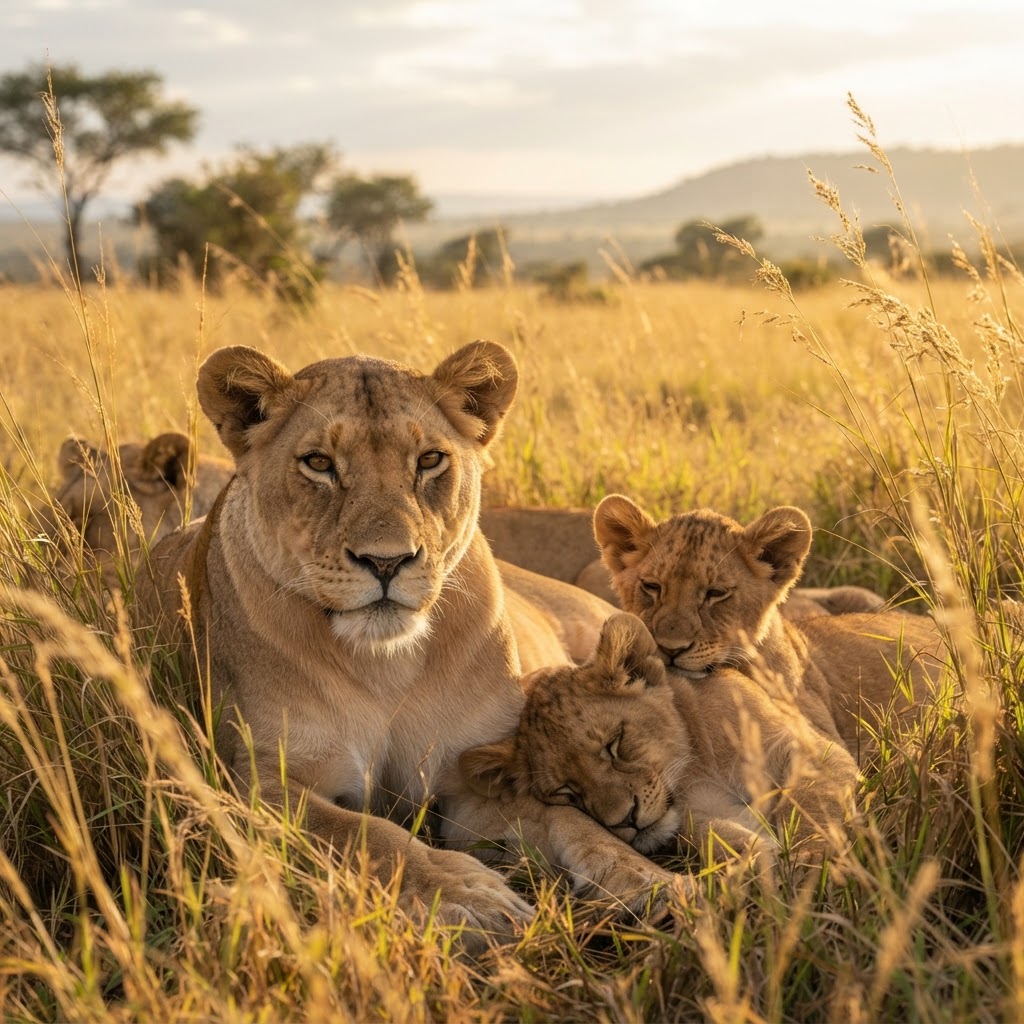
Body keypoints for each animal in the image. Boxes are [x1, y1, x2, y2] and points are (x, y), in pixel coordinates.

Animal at [136, 341, 680, 948]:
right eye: (319, 464)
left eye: (429, 460)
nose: (387, 561)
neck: (387, 666)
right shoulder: (254, 786)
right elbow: (365, 833)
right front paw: (468, 896)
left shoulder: (470, 782)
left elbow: (570, 822)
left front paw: (649, 878)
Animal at [460, 612, 860, 871]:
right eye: (566, 791)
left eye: (615, 743)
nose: (626, 821)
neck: (700, 761)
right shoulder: (703, 806)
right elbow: (715, 833)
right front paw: (756, 862)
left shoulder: (815, 749)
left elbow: (811, 800)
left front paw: (814, 861)